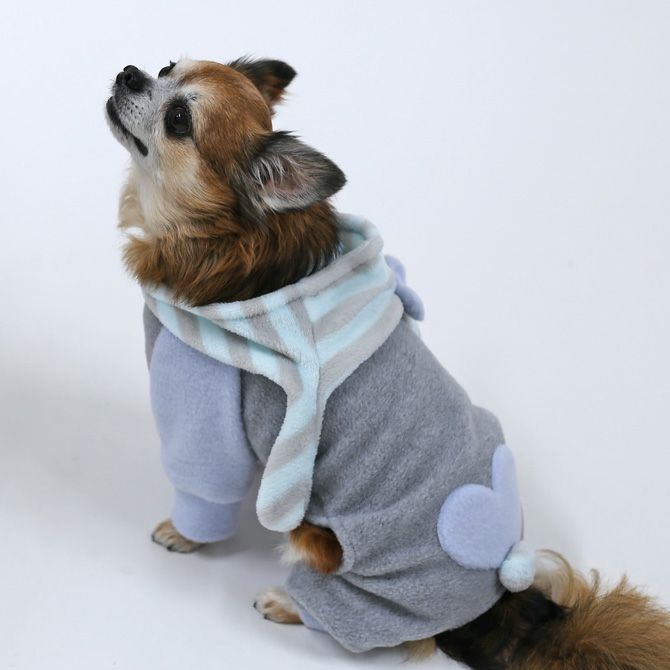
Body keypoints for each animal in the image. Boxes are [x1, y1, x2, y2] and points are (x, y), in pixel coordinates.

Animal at [106, 57, 670, 668]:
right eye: (167, 66)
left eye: (179, 120)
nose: (130, 72)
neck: (231, 243)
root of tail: (502, 600)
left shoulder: (204, 416)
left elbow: (202, 486)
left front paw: (184, 536)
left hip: (344, 565)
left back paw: (287, 601)